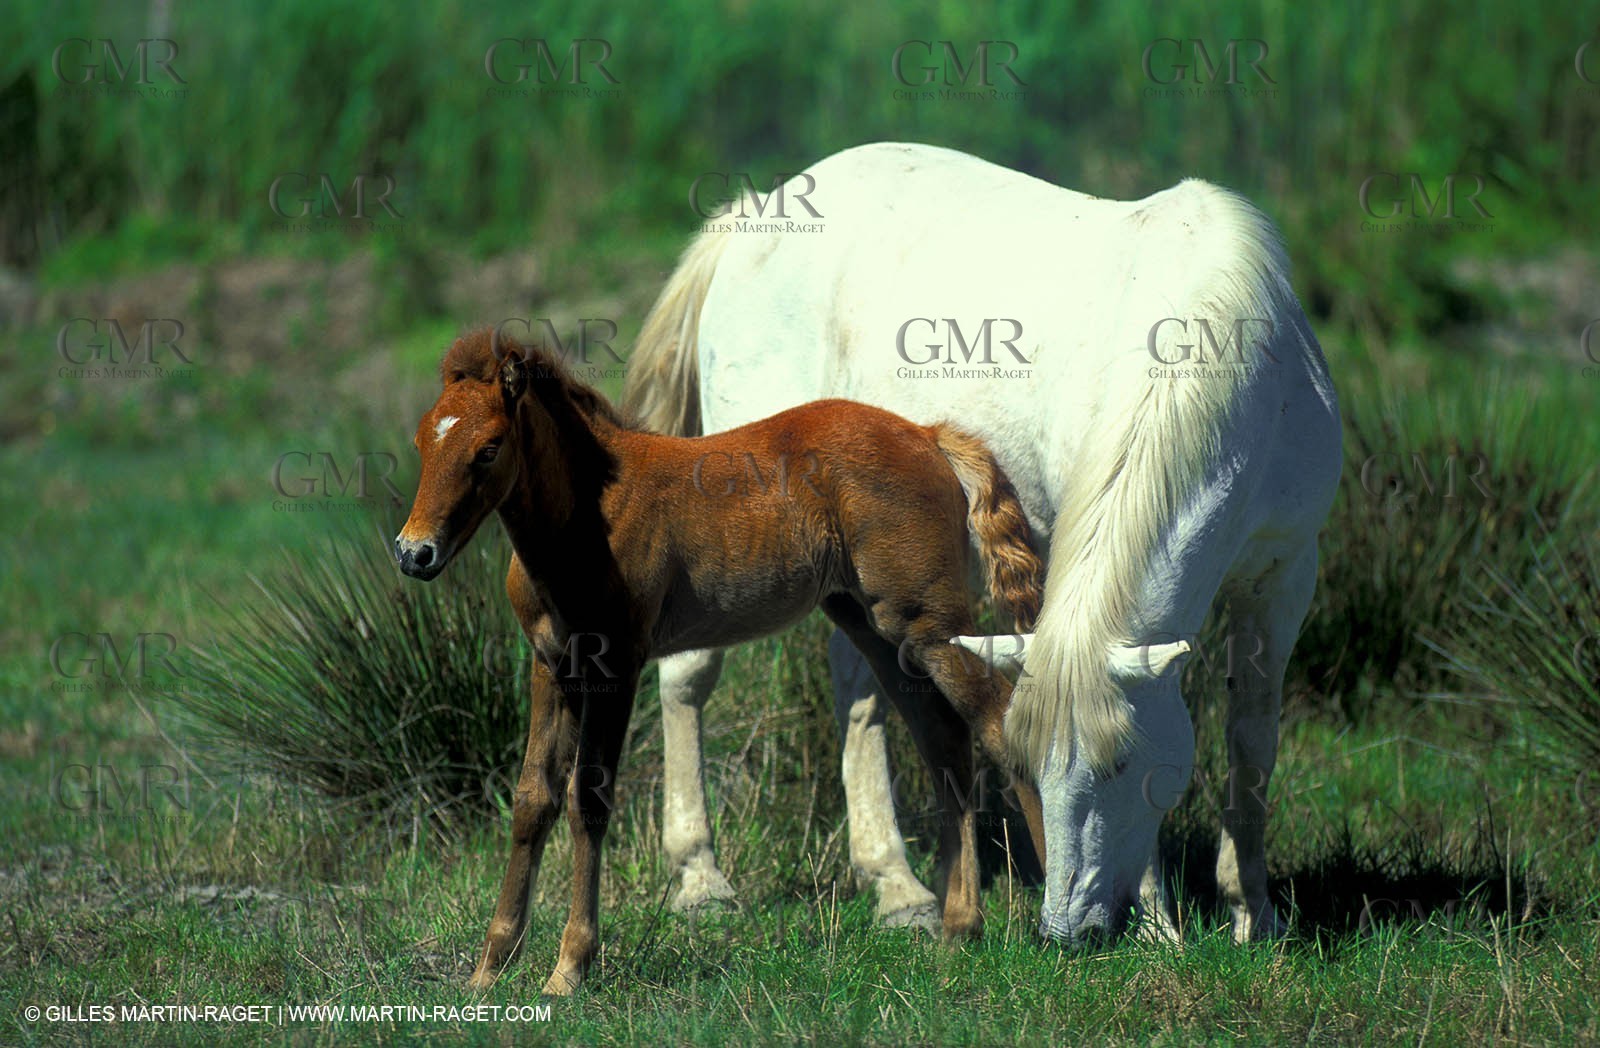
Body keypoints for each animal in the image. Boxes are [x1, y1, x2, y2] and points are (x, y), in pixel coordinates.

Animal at [393, 326, 1048, 994]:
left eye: (489, 448)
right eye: (422, 441)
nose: (414, 553)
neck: (586, 520)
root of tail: (928, 434)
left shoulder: (616, 664)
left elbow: (588, 802)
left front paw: (570, 968)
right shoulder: (551, 666)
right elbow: (532, 800)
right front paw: (488, 970)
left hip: (927, 624)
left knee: (997, 721)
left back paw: (1057, 926)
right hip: (879, 628)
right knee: (945, 740)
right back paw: (959, 928)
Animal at [621, 141, 1342, 947]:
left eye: (1123, 765)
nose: (1067, 930)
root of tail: (754, 215)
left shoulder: (1286, 574)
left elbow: (1253, 738)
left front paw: (1254, 912)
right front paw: (1160, 926)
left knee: (858, 686)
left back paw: (896, 886)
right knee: (690, 676)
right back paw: (700, 878)